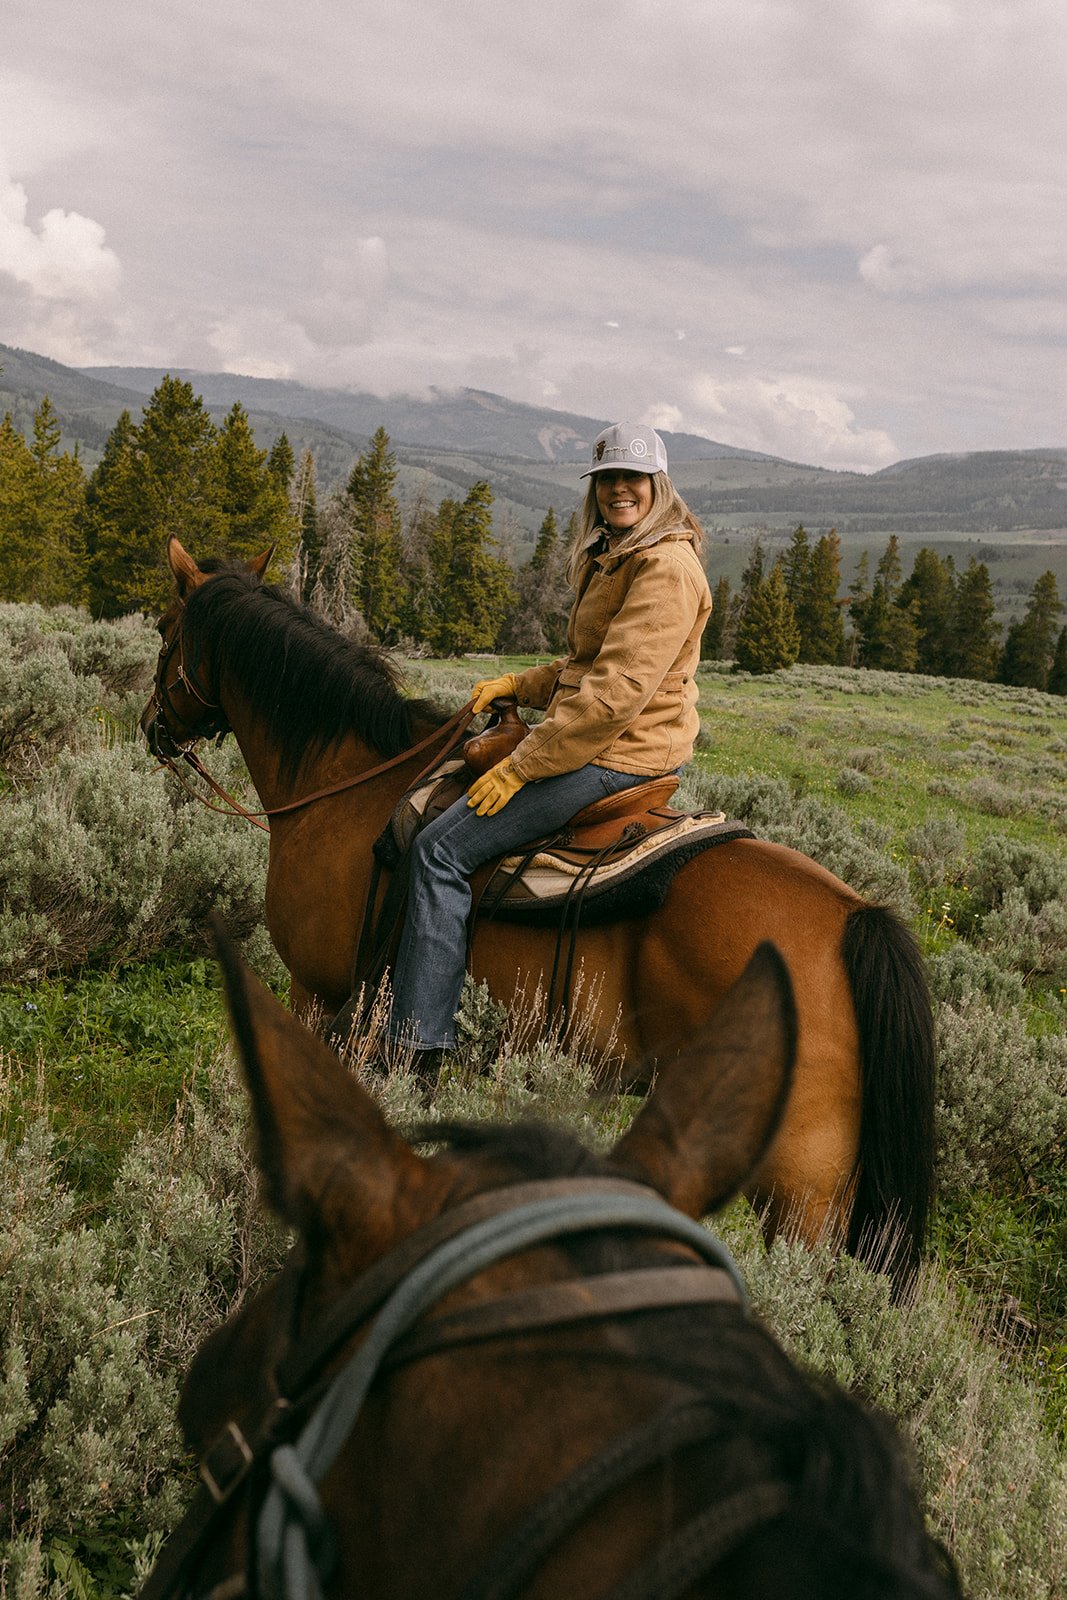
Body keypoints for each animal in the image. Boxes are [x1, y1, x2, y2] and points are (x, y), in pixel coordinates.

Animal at [139, 544, 934, 1280]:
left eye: (163, 628)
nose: (152, 727)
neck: (346, 784)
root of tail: (852, 917)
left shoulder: (316, 990)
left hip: (796, 1195)